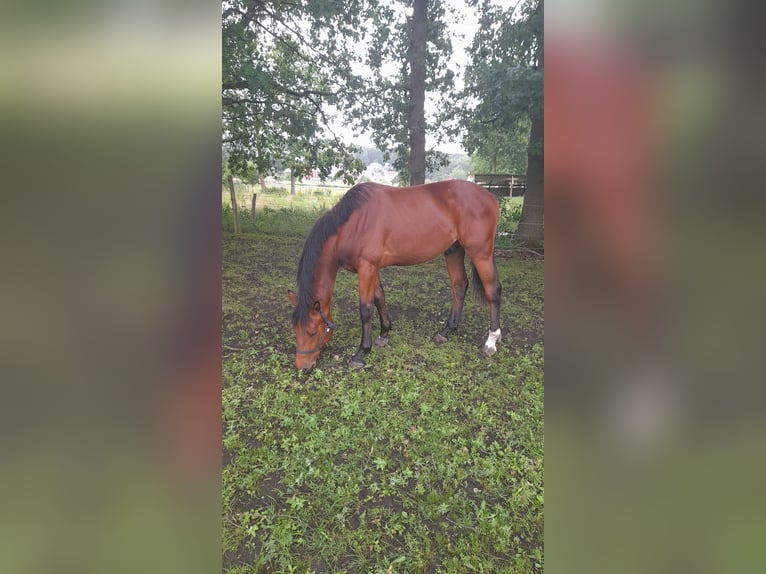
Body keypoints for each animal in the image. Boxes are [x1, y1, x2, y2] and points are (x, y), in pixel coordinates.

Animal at [287, 179, 502, 371]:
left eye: (312, 332)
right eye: (295, 330)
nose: (302, 367)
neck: (352, 224)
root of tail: (490, 197)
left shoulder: (367, 267)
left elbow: (365, 309)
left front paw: (362, 352)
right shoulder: (371, 268)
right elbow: (379, 298)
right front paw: (384, 333)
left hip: (480, 253)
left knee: (492, 291)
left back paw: (491, 341)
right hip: (454, 250)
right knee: (459, 286)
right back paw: (447, 330)